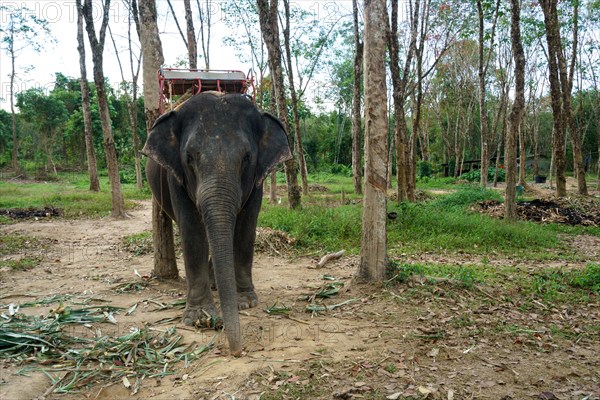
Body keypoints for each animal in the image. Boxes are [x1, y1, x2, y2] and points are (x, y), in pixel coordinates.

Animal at [141, 92, 290, 354]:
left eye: (247, 158)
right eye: (189, 157)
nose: (237, 351)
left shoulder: (257, 181)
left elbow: (246, 227)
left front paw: (245, 302)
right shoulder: (175, 176)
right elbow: (192, 230)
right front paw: (200, 317)